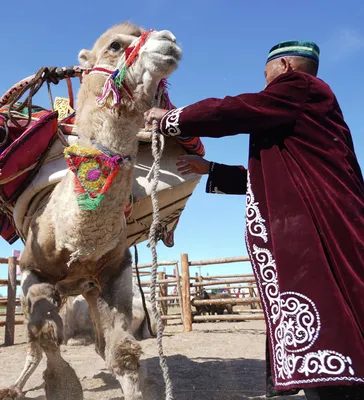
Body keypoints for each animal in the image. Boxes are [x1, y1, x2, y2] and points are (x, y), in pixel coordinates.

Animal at [0, 21, 182, 400]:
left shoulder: (114, 274)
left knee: (100, 343)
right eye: (115, 45)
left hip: (87, 289)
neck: (76, 239)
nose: (169, 41)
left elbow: (121, 351)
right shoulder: (33, 273)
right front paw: (61, 386)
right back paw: (14, 387)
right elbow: (47, 338)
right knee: (36, 343)